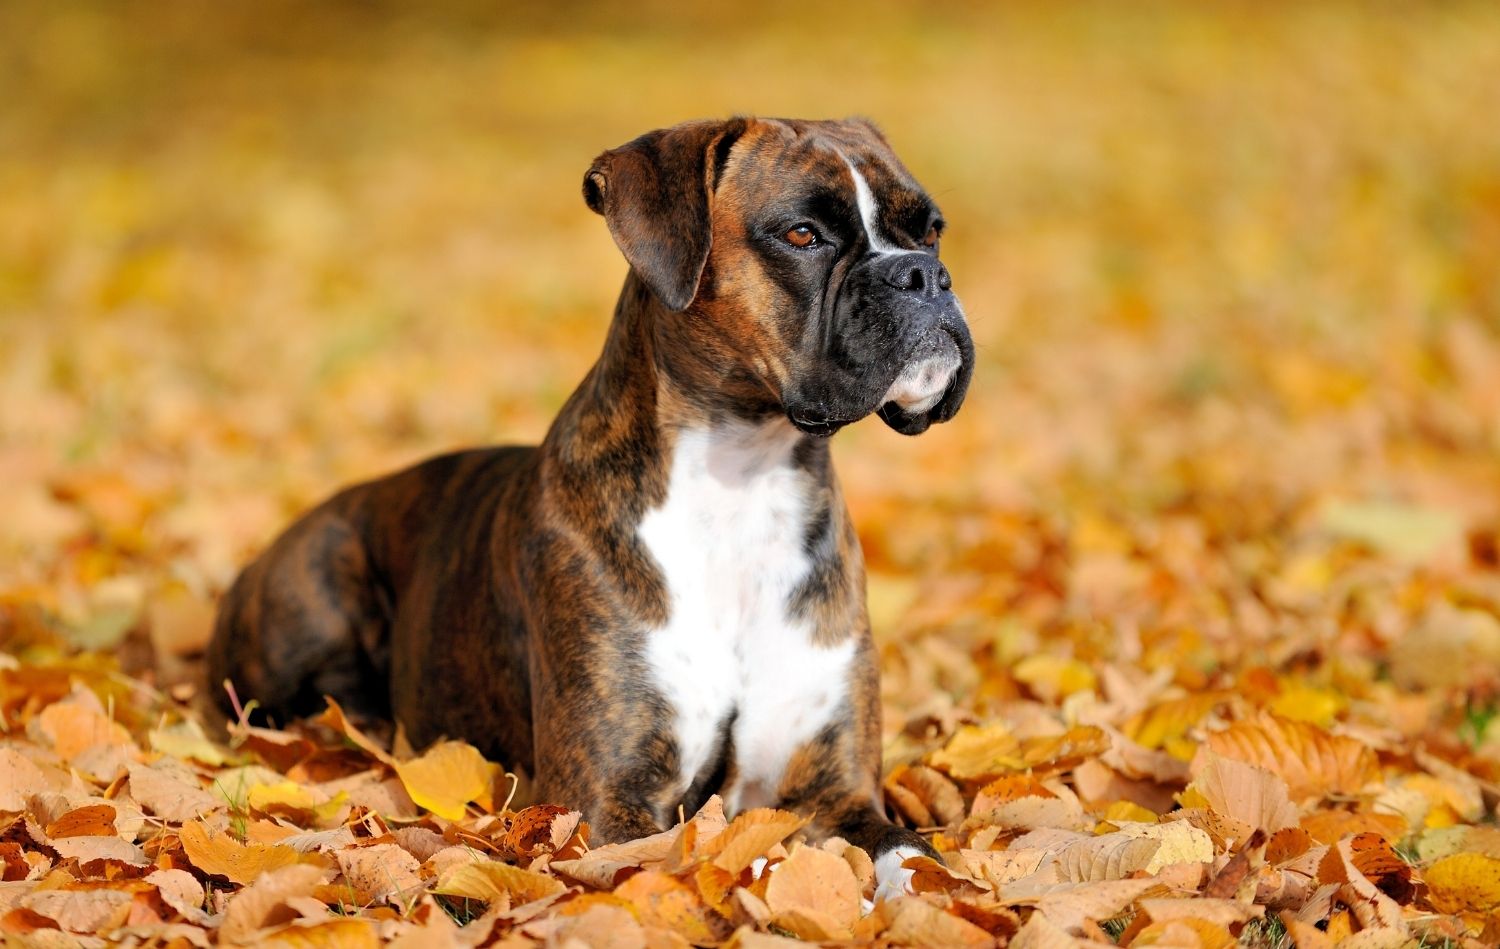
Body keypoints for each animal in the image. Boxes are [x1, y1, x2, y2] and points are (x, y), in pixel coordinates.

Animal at [211, 114, 978, 893]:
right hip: (319, 588)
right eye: (802, 234)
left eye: (930, 231)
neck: (744, 476)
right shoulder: (605, 803)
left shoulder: (839, 794)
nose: (921, 274)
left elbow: (917, 863)